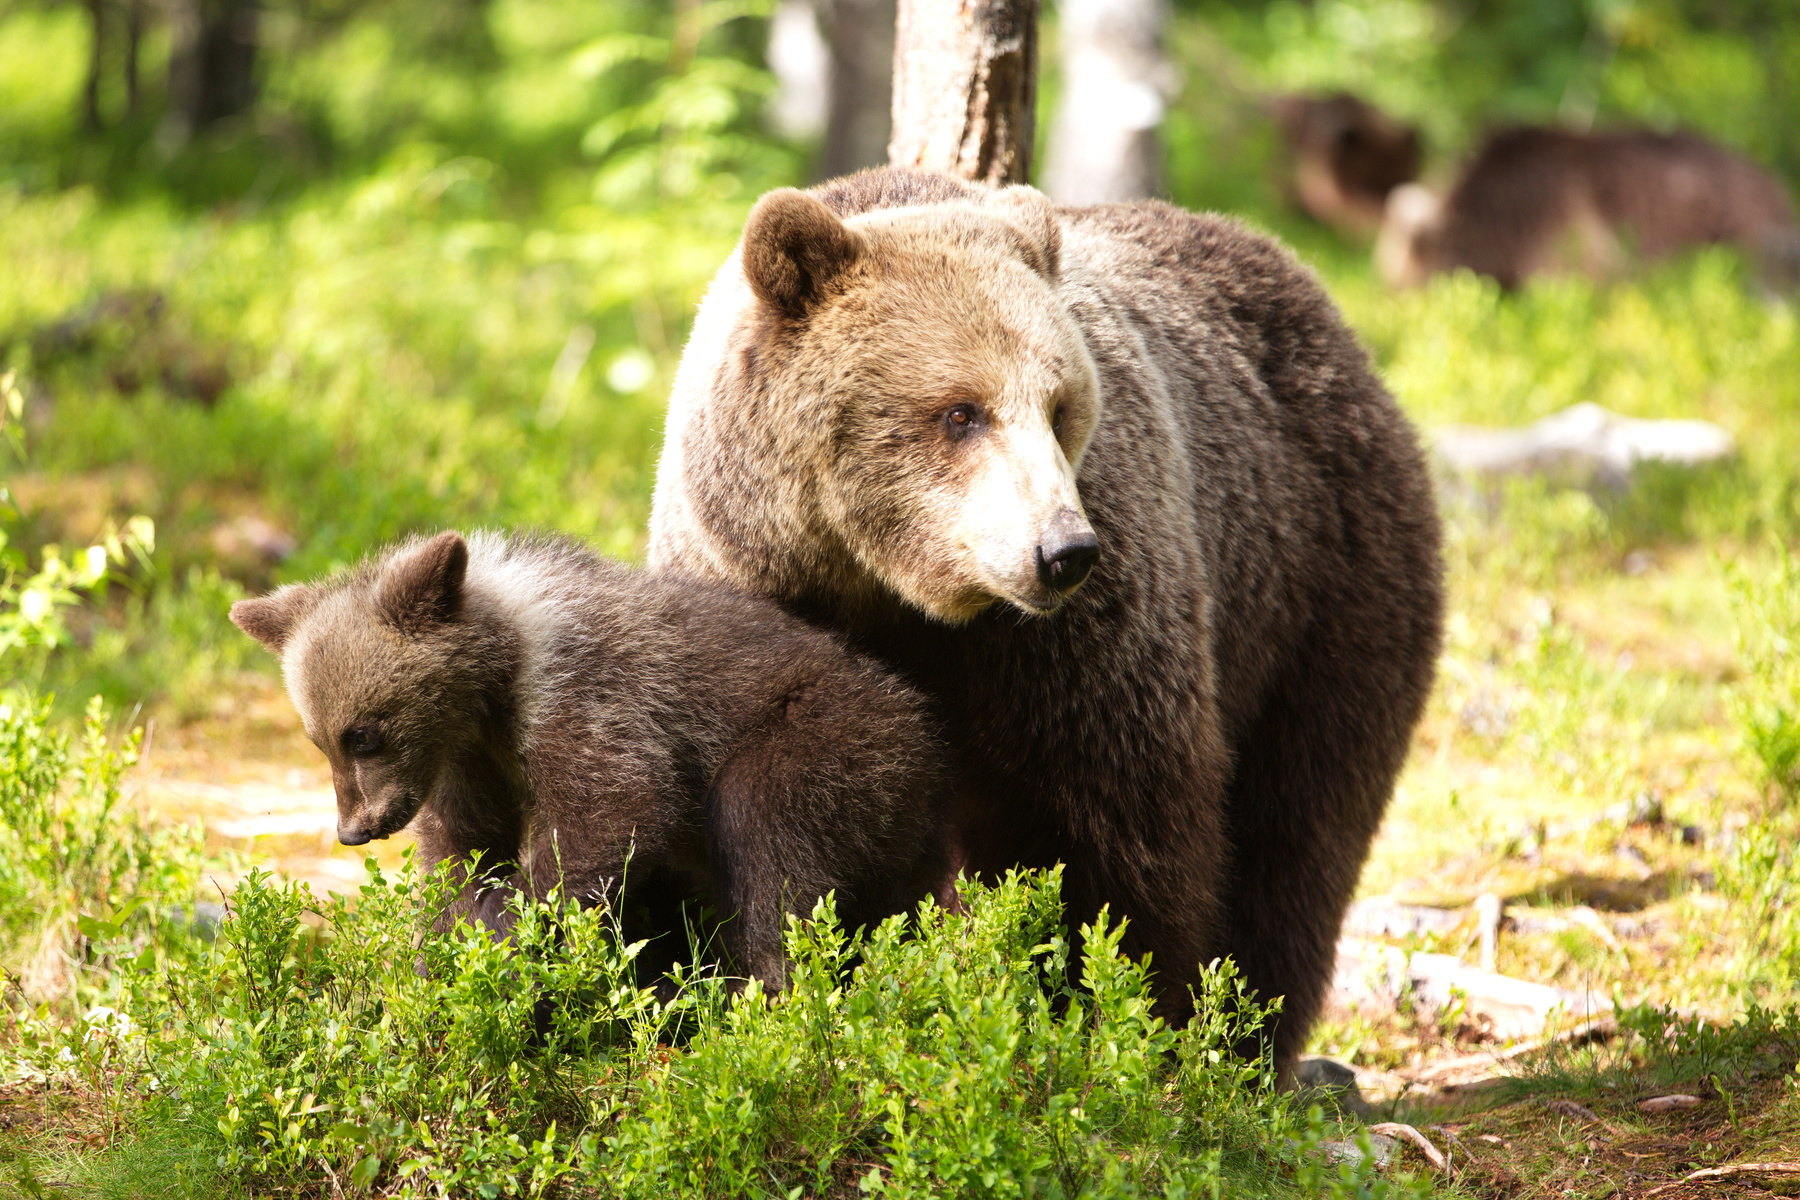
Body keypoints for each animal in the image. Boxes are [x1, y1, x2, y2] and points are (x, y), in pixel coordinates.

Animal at [228, 529, 953, 987]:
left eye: (363, 733)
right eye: (318, 739)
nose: (355, 828)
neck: (499, 683)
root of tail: (921, 728)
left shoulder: (595, 700)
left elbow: (610, 810)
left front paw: (518, 941)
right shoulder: (470, 762)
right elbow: (462, 854)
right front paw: (446, 960)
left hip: (822, 741)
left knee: (770, 847)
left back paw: (762, 987)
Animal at [646, 167, 1446, 1074]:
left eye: (1060, 406)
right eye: (961, 411)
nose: (1064, 551)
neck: (891, 591)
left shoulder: (1070, 642)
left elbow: (1108, 834)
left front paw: (1109, 1017)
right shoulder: (753, 589)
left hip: (1319, 588)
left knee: (1298, 833)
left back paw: (1248, 1045)